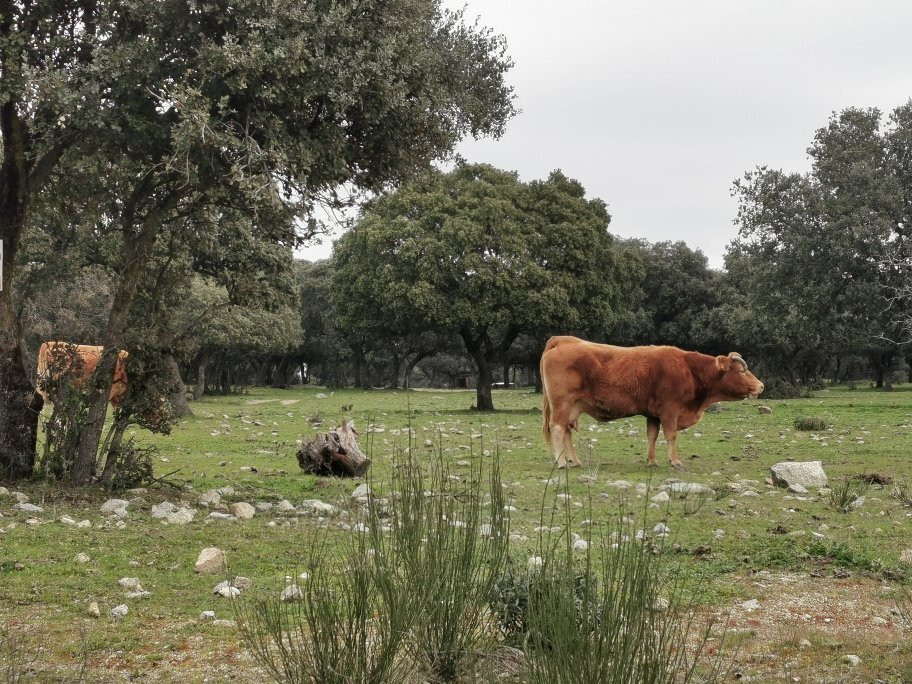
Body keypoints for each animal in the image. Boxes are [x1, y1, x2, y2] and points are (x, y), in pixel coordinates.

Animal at [536, 338, 764, 470]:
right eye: (742, 371)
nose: (761, 386)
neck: (690, 370)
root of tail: (562, 340)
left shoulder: (653, 413)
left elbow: (652, 435)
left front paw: (652, 460)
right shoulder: (670, 410)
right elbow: (670, 435)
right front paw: (675, 461)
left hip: (572, 406)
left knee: (566, 431)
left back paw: (576, 461)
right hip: (562, 403)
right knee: (558, 429)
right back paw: (562, 462)